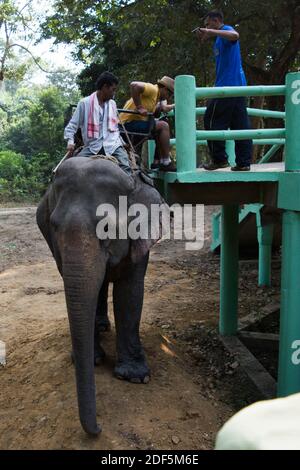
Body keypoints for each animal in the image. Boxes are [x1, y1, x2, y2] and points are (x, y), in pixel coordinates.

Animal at [37, 156, 166, 436]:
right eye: (54, 226)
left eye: (107, 227)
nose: (98, 429)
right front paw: (92, 360)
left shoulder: (140, 237)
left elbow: (130, 292)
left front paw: (136, 377)